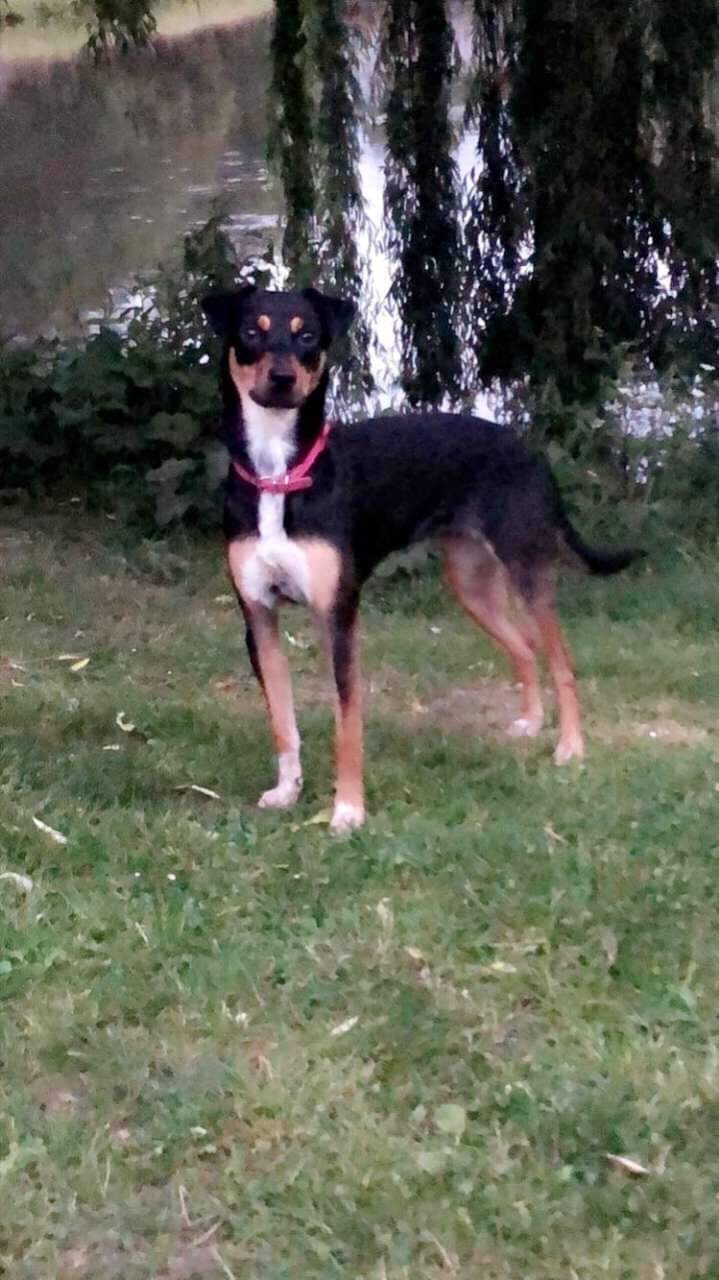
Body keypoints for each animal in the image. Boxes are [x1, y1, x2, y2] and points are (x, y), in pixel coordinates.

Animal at [202, 285, 639, 833]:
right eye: (250, 332)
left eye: (307, 335)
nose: (282, 379)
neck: (279, 476)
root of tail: (528, 448)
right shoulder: (259, 616)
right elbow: (284, 722)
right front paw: (288, 790)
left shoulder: (337, 616)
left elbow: (348, 724)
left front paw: (348, 810)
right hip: (470, 582)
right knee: (522, 647)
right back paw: (533, 722)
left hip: (527, 569)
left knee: (561, 661)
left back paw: (570, 747)